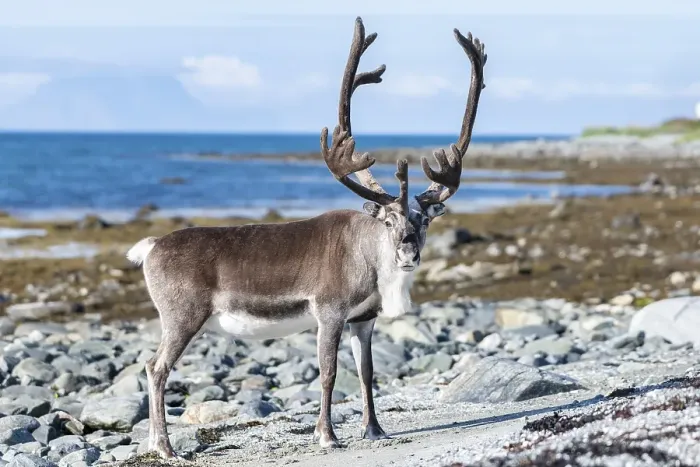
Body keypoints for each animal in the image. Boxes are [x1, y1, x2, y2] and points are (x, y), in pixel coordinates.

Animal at [126, 16, 486, 459]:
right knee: (155, 367)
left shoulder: (363, 318)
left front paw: (375, 429)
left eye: (423, 220)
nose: (408, 251)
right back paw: (164, 447)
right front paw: (327, 434)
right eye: (387, 220)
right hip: (182, 314)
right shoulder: (328, 310)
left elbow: (367, 373)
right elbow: (329, 372)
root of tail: (151, 247)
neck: (369, 263)